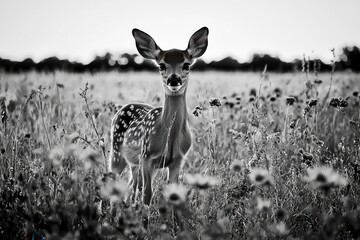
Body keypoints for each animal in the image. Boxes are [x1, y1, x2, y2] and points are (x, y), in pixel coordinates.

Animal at [107, 27, 208, 205]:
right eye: (161, 65)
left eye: (186, 65)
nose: (173, 79)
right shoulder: (147, 157)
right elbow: (147, 195)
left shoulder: (177, 160)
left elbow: (173, 194)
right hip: (117, 152)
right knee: (115, 181)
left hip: (134, 163)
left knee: (131, 185)